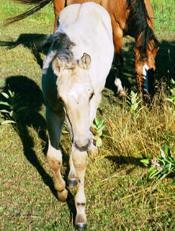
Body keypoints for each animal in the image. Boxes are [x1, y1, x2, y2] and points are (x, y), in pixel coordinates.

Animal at [5, 0, 159, 97]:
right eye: (138, 72)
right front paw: (120, 90)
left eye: (153, 70)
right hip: (59, 11)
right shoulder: (116, 33)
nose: (148, 99)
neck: (125, 6)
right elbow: (118, 61)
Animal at [41, 2, 114, 229]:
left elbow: (80, 158)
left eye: (88, 94)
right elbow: (53, 157)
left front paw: (80, 214)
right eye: (62, 98)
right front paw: (62, 191)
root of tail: (86, 3)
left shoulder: (89, 105)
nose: (84, 143)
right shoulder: (54, 109)